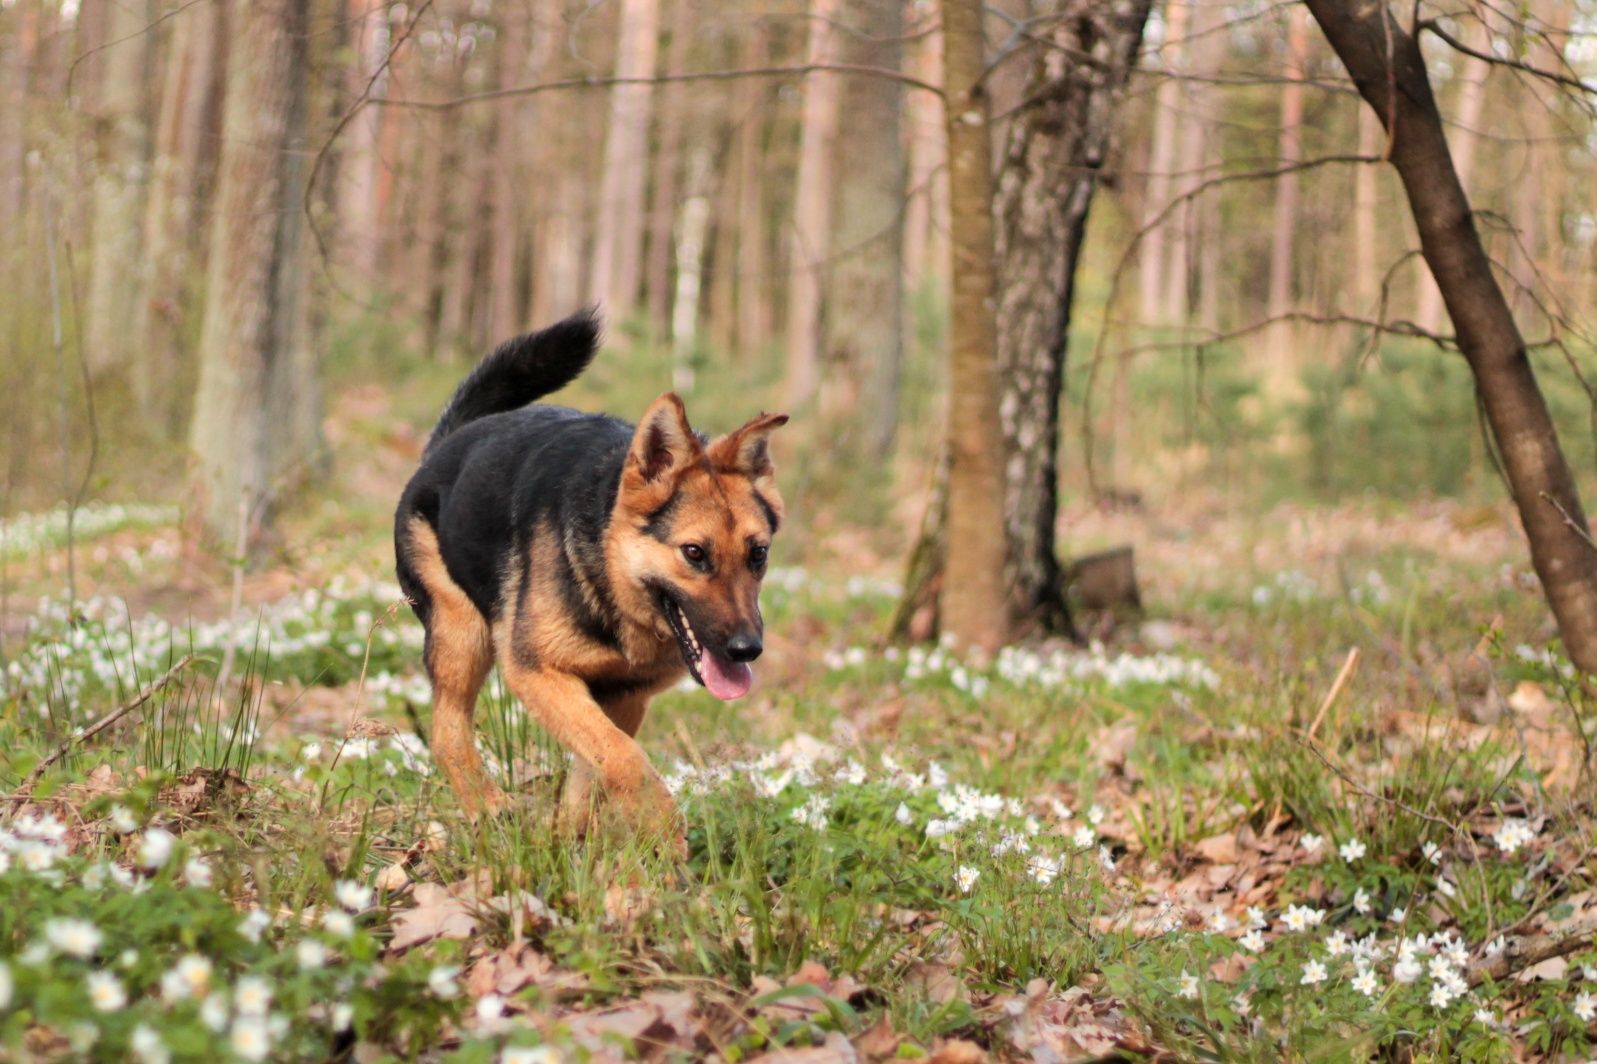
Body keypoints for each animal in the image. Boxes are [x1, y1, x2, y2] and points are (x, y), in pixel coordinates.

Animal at [396, 308, 788, 843]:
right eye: (694, 553)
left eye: (758, 555)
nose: (747, 650)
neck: (611, 582)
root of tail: (448, 441)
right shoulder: (537, 673)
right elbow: (625, 758)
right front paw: (665, 831)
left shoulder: (623, 694)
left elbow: (597, 769)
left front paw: (570, 843)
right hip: (462, 634)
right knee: (446, 732)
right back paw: (490, 812)